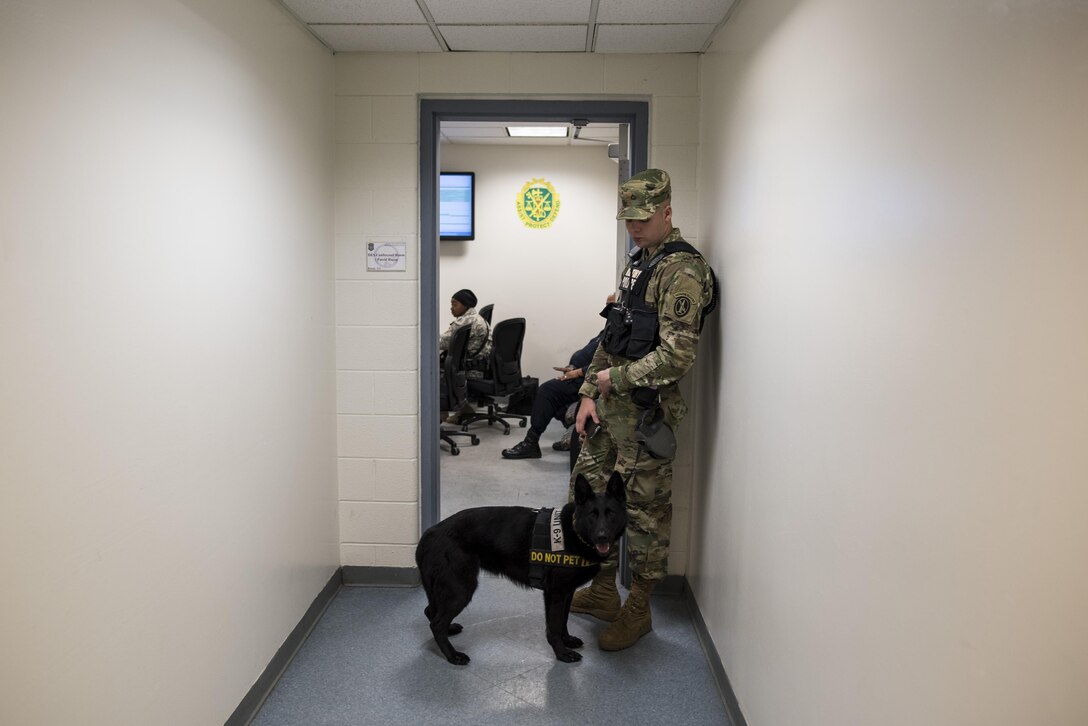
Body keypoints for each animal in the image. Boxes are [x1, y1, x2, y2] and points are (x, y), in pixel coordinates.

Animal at [413, 472, 626, 666]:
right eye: (592, 515)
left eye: (611, 514)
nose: (602, 537)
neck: (573, 531)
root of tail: (430, 533)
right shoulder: (556, 593)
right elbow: (555, 626)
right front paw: (562, 653)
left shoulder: (566, 592)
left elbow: (563, 620)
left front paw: (567, 641)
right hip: (461, 589)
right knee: (436, 623)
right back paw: (452, 655)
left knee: (430, 612)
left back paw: (449, 632)